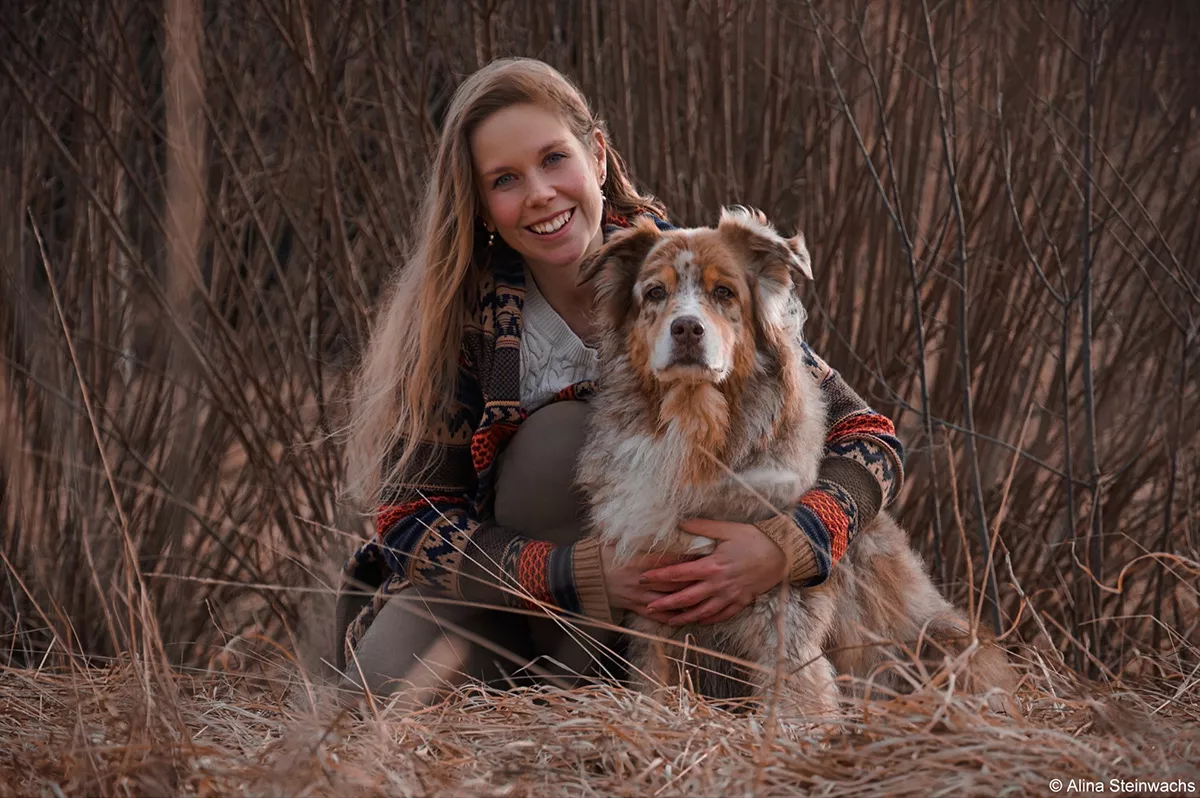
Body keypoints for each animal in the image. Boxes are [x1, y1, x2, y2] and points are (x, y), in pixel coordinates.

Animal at [576, 208, 1017, 720]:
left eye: (724, 292)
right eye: (654, 293)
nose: (686, 329)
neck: (700, 428)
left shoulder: (779, 600)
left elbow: (795, 687)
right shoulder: (652, 593)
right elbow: (652, 676)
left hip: (942, 639)